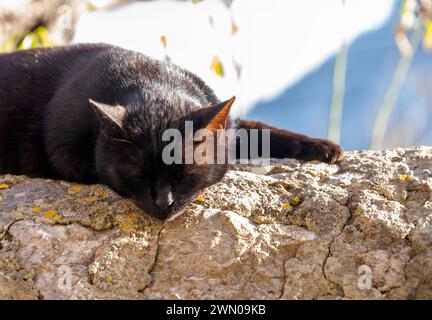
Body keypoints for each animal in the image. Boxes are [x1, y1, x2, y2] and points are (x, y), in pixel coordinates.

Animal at [0, 43, 342, 219]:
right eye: (137, 175)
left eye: (184, 173)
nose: (163, 202)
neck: (151, 81)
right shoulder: (62, 150)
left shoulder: (230, 124)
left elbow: (262, 131)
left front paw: (322, 148)